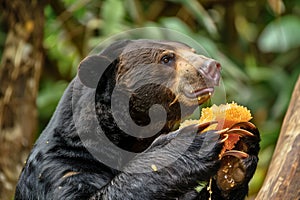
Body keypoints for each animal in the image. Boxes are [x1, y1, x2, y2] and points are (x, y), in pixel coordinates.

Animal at [14, 39, 260, 200]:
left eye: (192, 50)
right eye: (167, 58)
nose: (211, 66)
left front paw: (235, 161)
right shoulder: (61, 170)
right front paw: (188, 143)